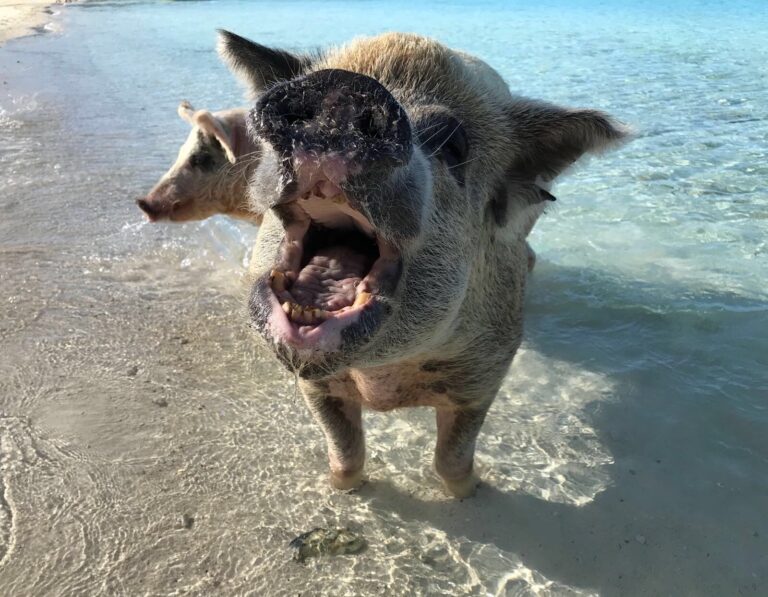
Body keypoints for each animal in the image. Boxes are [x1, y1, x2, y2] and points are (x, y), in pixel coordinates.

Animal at [218, 30, 628, 497]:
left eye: (452, 146)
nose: (340, 88)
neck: (382, 378)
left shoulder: (487, 372)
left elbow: (451, 458)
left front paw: (469, 493)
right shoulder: (313, 382)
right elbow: (346, 452)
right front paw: (343, 487)